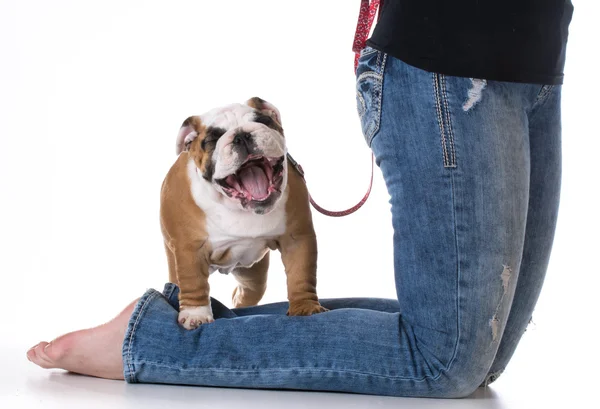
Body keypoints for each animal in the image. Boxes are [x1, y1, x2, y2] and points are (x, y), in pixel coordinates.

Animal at [159, 97, 328, 330]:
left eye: (263, 121)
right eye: (211, 140)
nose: (240, 135)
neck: (237, 207)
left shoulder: (297, 238)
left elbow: (301, 273)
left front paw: (305, 307)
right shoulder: (189, 249)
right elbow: (193, 282)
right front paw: (196, 315)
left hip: (253, 275)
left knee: (246, 293)